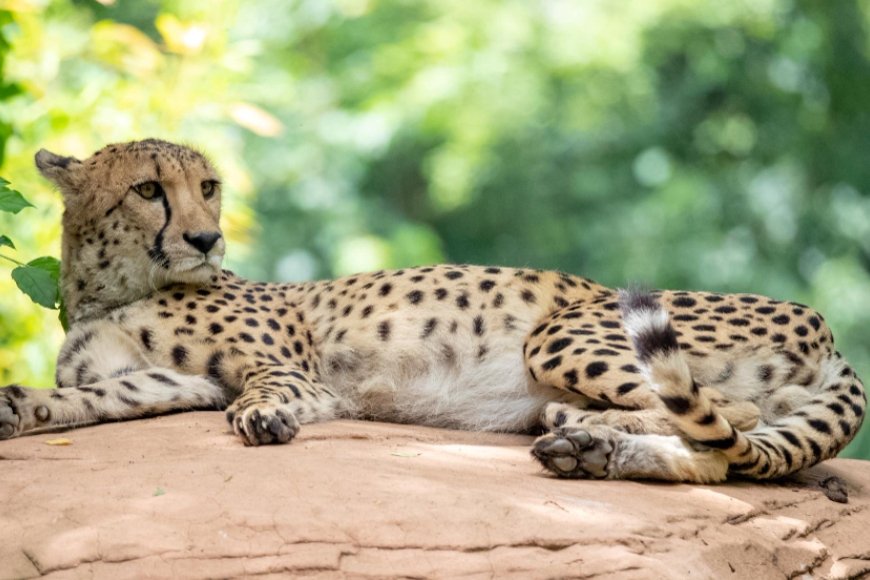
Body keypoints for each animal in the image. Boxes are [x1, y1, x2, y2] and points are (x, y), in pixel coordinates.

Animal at [0, 138, 864, 483]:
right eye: (149, 189)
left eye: (207, 187)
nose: (206, 238)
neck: (117, 288)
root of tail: (822, 323)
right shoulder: (168, 383)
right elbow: (86, 400)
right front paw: (19, 408)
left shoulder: (293, 371)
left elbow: (269, 390)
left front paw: (263, 418)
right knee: (730, 441)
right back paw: (588, 443)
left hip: (564, 329)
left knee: (731, 422)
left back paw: (589, 435)